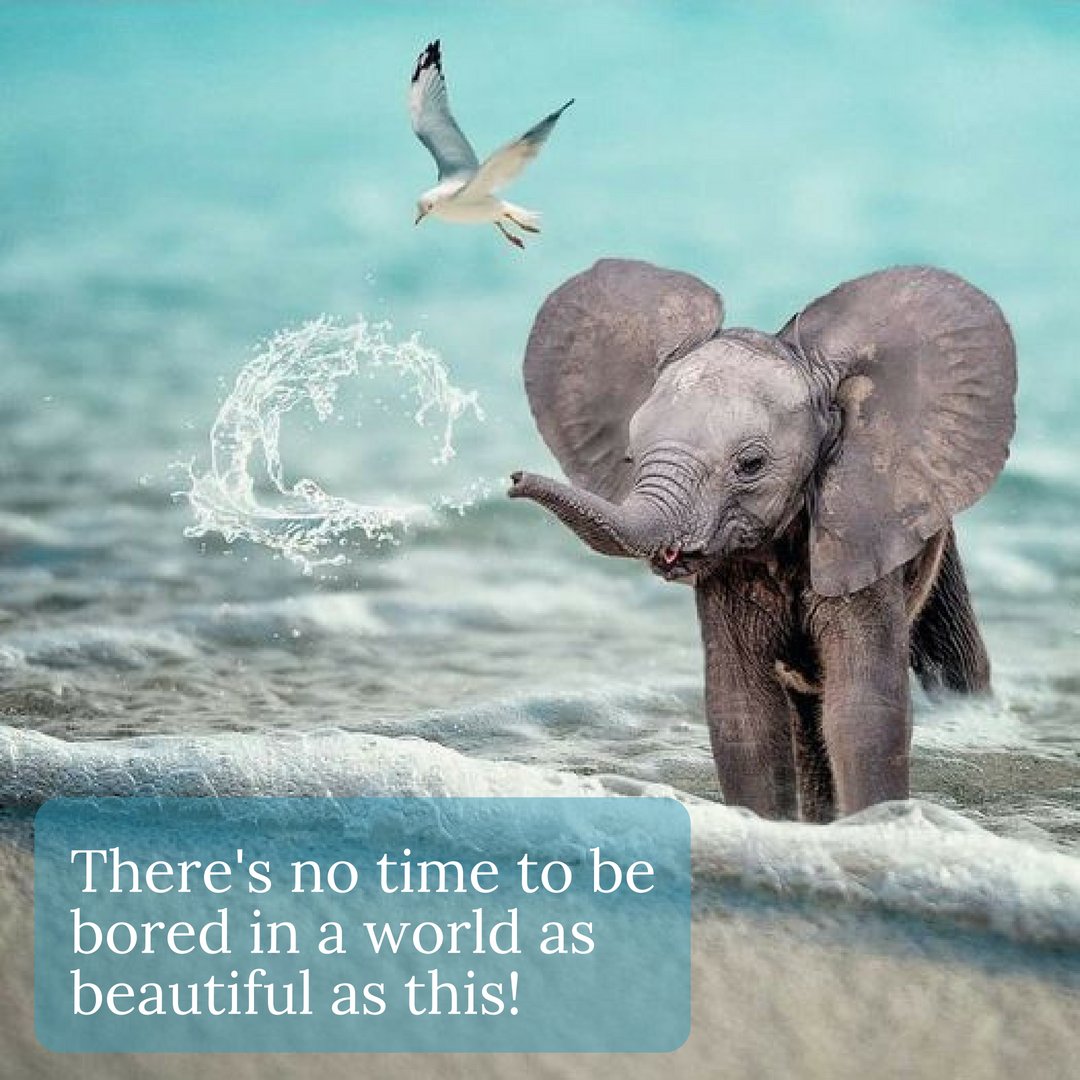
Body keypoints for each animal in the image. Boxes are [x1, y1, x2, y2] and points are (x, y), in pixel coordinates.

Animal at [509, 259, 1016, 822]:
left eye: (750, 464)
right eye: (629, 456)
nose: (513, 480)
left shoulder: (862, 528)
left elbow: (864, 710)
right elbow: (741, 714)